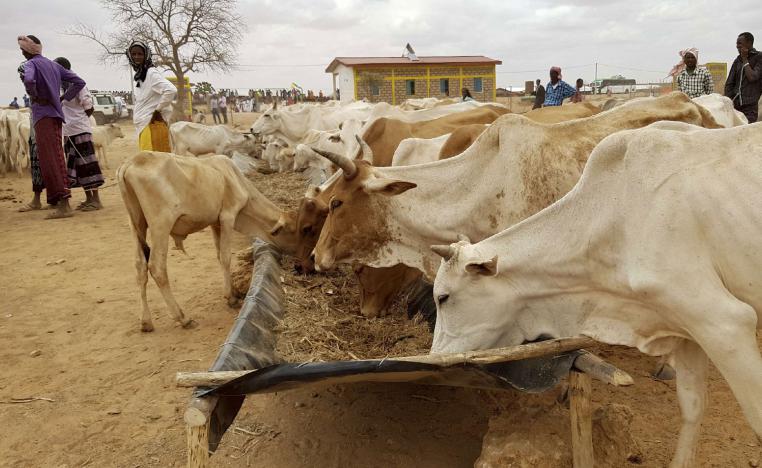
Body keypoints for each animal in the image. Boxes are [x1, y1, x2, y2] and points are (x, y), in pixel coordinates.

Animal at [117, 152, 298, 330]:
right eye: (295, 231)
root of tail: (131, 162)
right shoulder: (227, 217)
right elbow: (226, 257)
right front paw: (230, 297)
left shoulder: (215, 223)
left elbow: (219, 255)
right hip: (160, 226)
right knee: (156, 268)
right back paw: (182, 318)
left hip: (136, 225)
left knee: (140, 267)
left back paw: (146, 321)